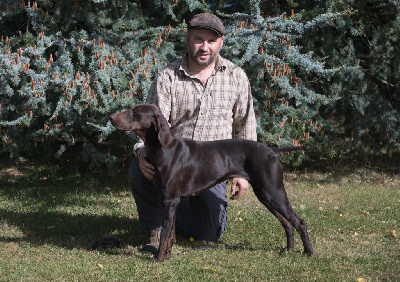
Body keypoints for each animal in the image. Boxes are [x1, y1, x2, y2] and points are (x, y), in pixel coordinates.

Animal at [109, 104, 312, 262]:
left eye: (134, 111)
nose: (111, 117)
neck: (163, 149)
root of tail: (271, 151)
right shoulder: (170, 200)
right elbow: (171, 233)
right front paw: (167, 256)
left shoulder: (170, 200)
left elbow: (166, 233)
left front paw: (158, 258)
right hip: (265, 195)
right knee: (287, 223)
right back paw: (289, 249)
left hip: (274, 192)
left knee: (299, 222)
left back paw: (308, 252)